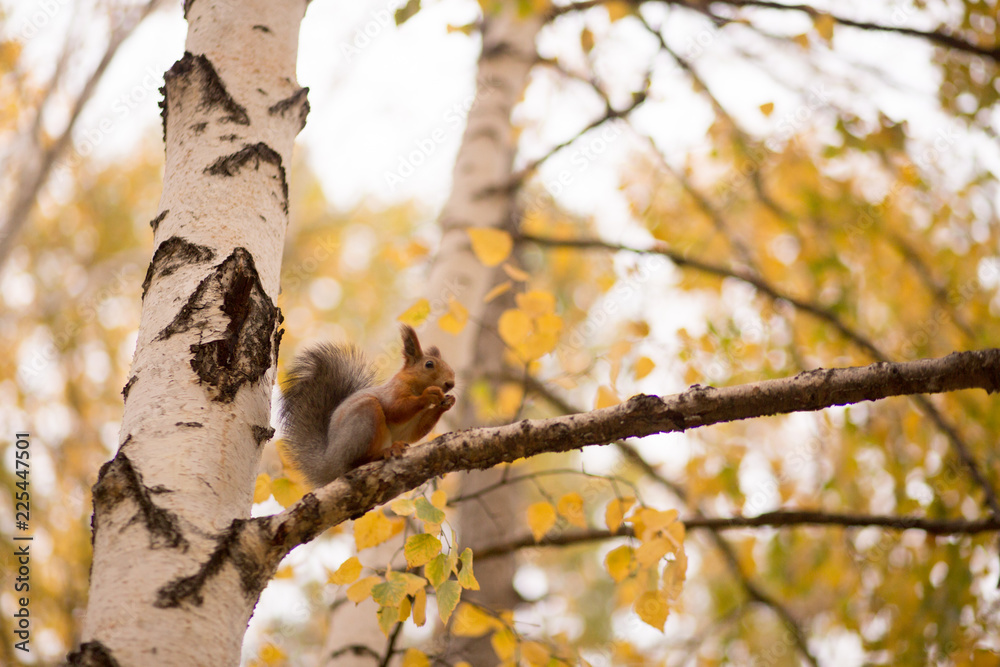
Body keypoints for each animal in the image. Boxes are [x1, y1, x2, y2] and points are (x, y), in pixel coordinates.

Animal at [279, 325, 456, 488]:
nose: (451, 383)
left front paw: (447, 403)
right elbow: (395, 410)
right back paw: (384, 452)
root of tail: (330, 463)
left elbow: (413, 433)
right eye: (429, 364)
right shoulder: (393, 392)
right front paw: (429, 394)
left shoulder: (412, 425)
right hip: (363, 421)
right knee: (356, 462)